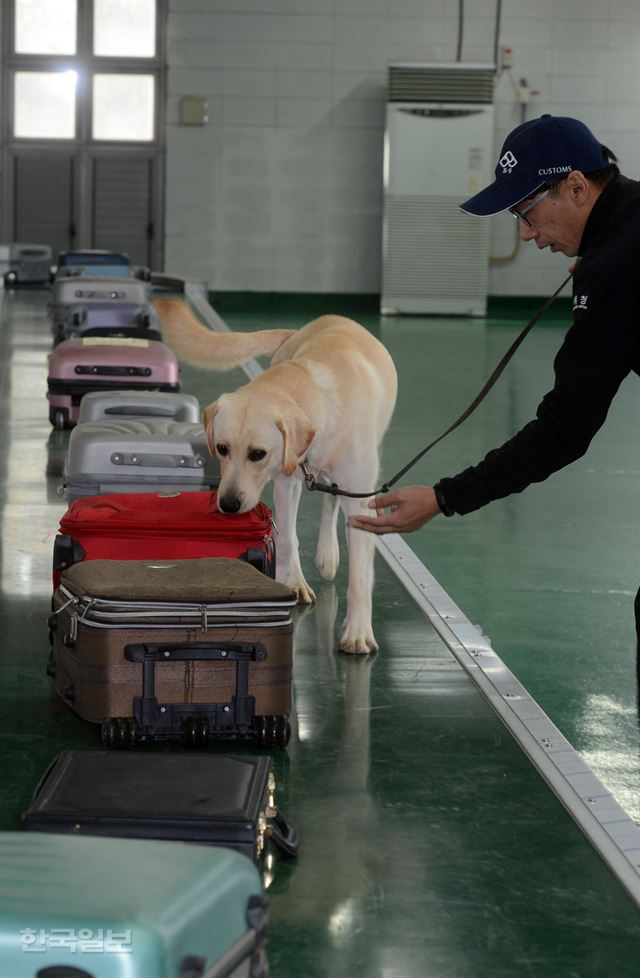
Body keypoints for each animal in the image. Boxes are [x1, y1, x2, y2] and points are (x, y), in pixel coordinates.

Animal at [155, 296, 396, 648]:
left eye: (257, 454)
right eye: (222, 448)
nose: (228, 505)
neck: (313, 389)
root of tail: (297, 331)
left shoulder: (358, 497)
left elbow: (359, 575)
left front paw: (358, 631)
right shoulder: (287, 481)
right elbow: (287, 539)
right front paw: (293, 583)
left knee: (337, 502)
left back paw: (330, 553)